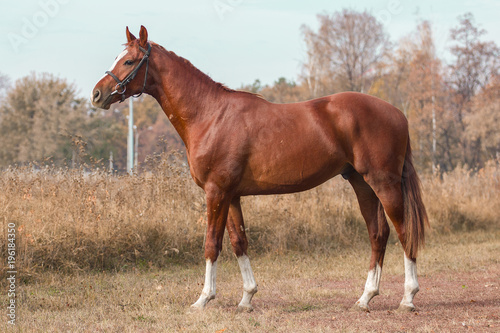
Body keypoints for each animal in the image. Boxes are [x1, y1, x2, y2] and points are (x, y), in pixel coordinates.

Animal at [92, 26, 428, 312]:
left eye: (129, 61)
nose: (97, 95)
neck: (210, 115)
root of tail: (398, 113)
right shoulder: (232, 195)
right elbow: (239, 242)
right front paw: (247, 298)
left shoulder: (216, 192)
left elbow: (211, 244)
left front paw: (203, 299)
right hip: (361, 183)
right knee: (378, 233)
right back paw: (365, 298)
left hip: (384, 183)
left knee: (403, 231)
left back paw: (408, 298)